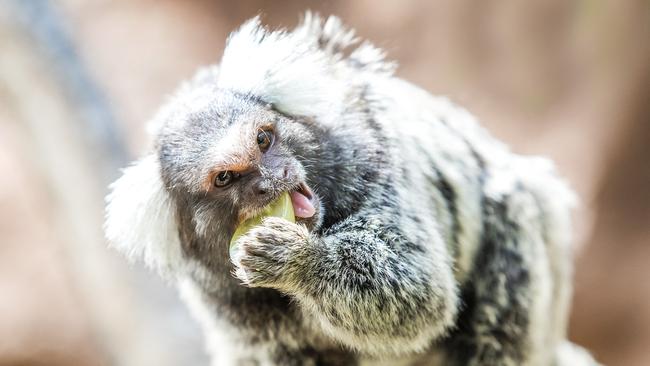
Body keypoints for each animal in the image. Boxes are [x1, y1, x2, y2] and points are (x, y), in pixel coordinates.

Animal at [105, 12, 596, 366]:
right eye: (225, 178)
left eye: (264, 139)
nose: (269, 182)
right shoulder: (221, 294)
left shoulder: (370, 160)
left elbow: (420, 292)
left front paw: (297, 260)